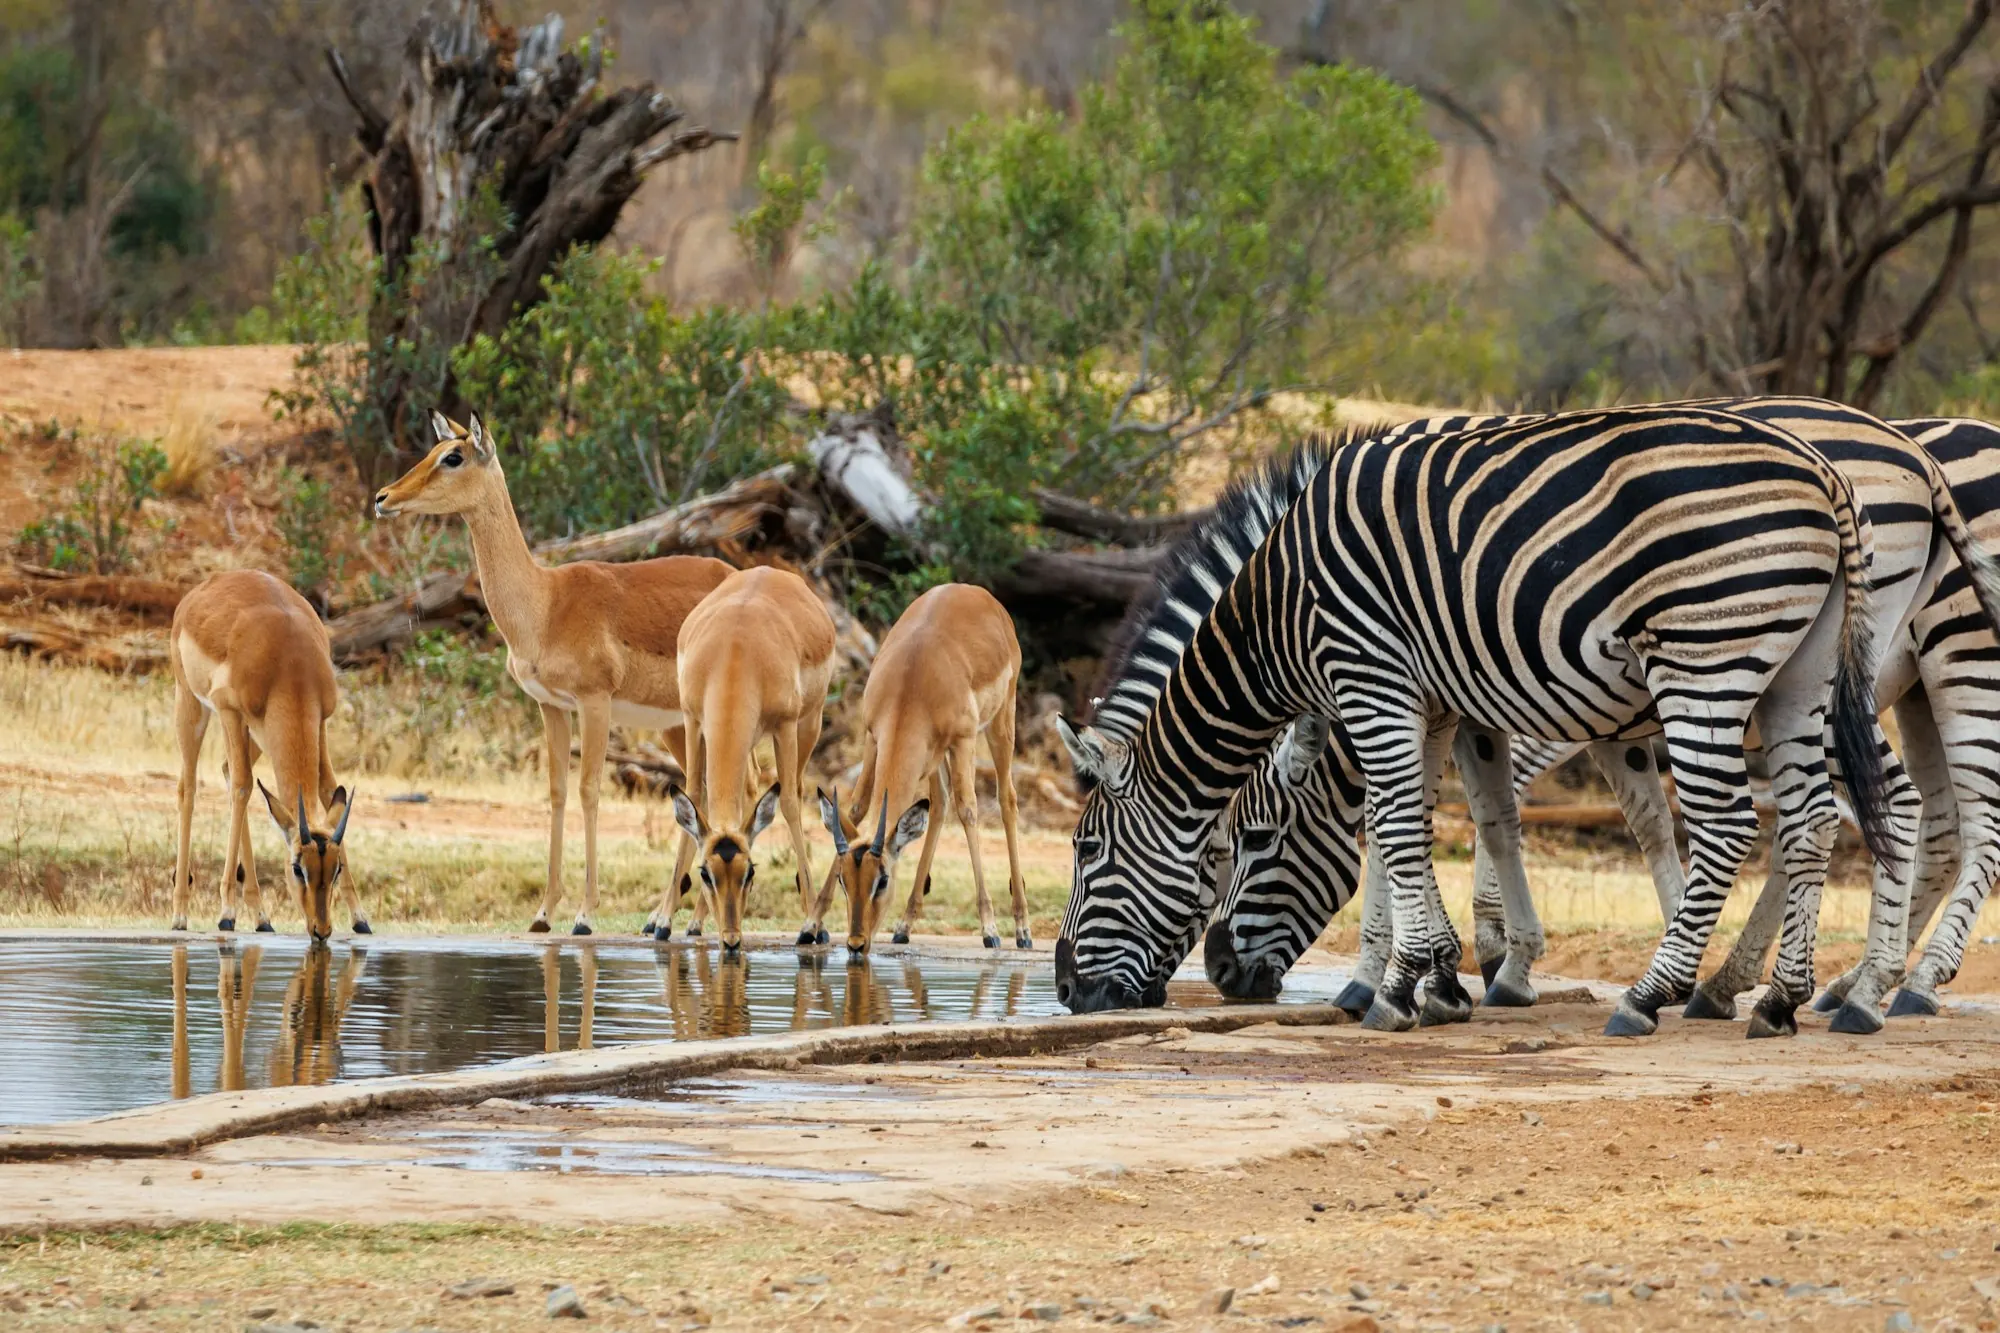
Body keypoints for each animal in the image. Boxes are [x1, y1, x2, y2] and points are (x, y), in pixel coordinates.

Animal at [170, 569, 359, 939]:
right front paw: (226, 914)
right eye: (297, 867)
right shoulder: (229, 710)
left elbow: (329, 788)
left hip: (258, 735)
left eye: (336, 868)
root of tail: (199, 592)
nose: (321, 929)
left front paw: (361, 919)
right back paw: (181, 915)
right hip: (193, 705)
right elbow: (243, 787)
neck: (289, 662)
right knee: (191, 788)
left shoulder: (321, 721)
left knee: (227, 771)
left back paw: (262, 917)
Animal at [374, 411, 733, 935]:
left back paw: (680, 920)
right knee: (701, 790)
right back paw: (671, 919)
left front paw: (584, 914)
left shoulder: (594, 701)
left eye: (453, 456)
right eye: (432, 450)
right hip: (677, 725)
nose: (383, 498)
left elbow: (589, 790)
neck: (544, 605)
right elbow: (558, 792)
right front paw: (544, 913)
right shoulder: (550, 705)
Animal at [668, 565, 837, 952]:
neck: (734, 653)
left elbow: (788, 803)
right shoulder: (692, 719)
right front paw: (661, 921)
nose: (731, 939)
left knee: (795, 791)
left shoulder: (785, 726)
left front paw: (811, 927)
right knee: (748, 786)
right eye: (705, 873)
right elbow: (694, 795)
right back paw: (694, 923)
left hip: (810, 723)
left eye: (750, 872)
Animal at [816, 583, 1029, 955]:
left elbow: (969, 811)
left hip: (1000, 722)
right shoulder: (874, 737)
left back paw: (1021, 930)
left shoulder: (962, 741)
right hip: (932, 757)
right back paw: (904, 926)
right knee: (940, 805)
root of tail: (978, 593)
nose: (856, 942)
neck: (913, 678)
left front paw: (989, 930)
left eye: (883, 879)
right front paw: (810, 925)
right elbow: (856, 809)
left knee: (1007, 800)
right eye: (844, 879)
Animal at [1057, 404, 1895, 1040]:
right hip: (1799, 675)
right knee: (1814, 819)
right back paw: (1779, 997)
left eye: (1088, 849)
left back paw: (1657, 994)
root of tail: (1821, 470)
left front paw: (1403, 985)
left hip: (1707, 661)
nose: (1066, 989)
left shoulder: (1374, 678)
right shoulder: (1432, 701)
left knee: (1735, 823)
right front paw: (1437, 978)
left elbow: (1393, 829)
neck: (1281, 607)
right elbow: (1438, 824)